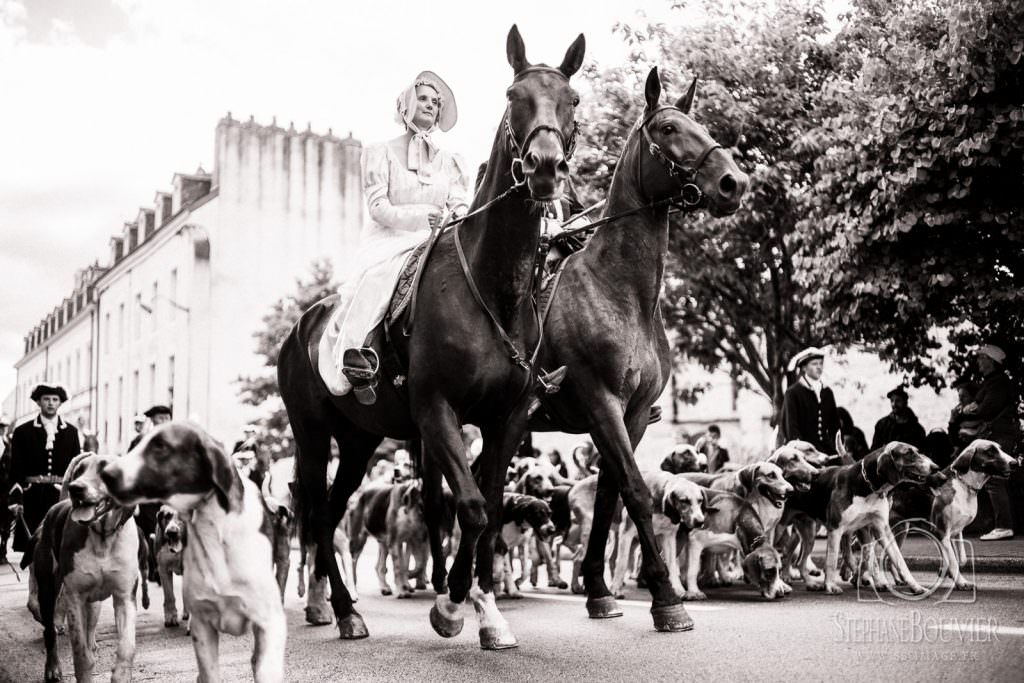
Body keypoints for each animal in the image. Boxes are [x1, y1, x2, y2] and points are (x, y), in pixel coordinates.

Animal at [278, 24, 585, 651]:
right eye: (513, 95)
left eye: (572, 99)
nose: (544, 168)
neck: (492, 285)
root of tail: (302, 324)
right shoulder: (436, 411)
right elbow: (468, 506)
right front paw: (450, 605)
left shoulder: (505, 420)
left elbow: (486, 511)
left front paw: (485, 610)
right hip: (313, 432)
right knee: (319, 515)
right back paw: (342, 610)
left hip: (360, 439)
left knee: (333, 512)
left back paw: (335, 606)